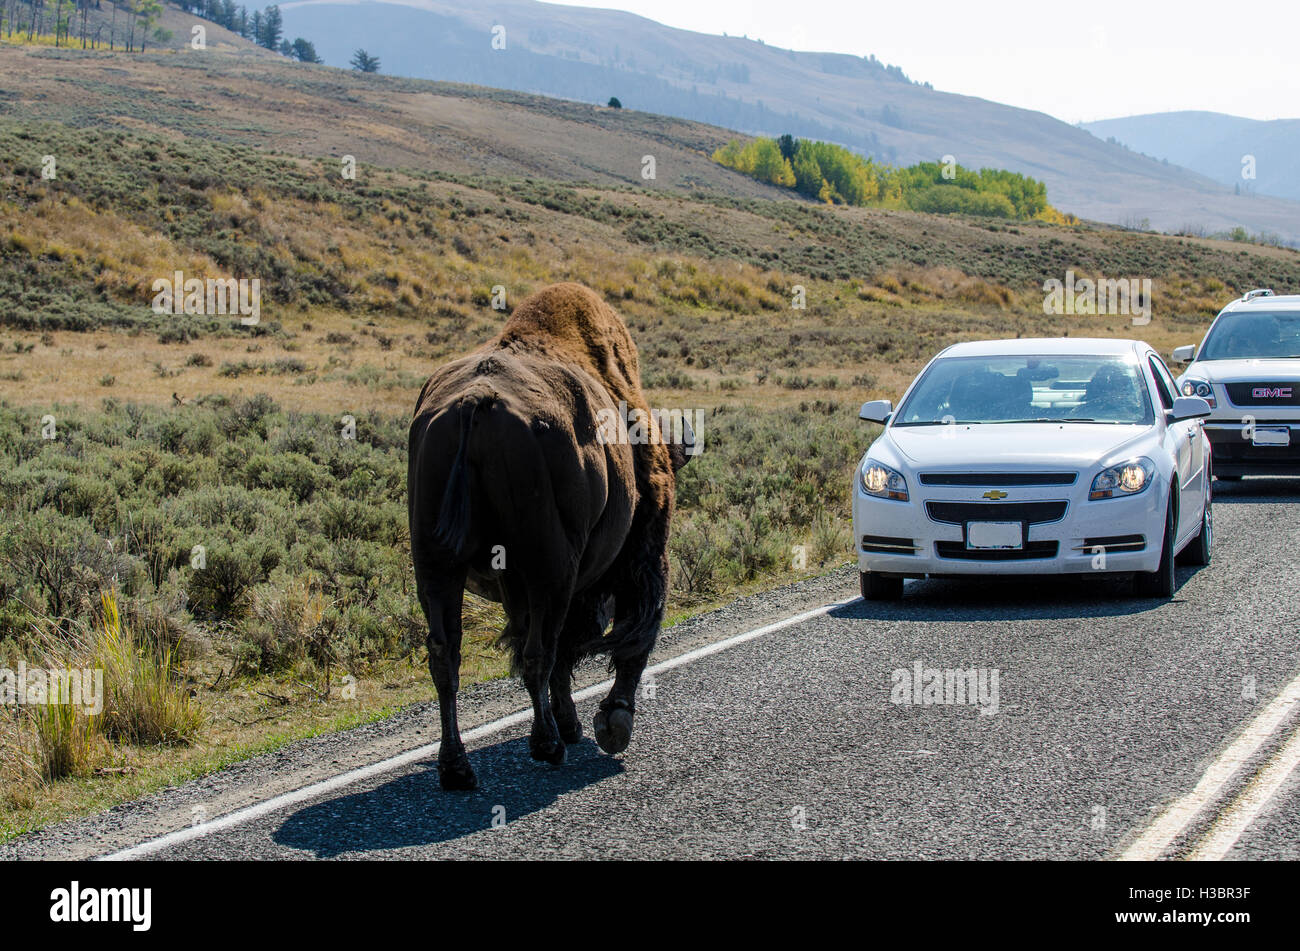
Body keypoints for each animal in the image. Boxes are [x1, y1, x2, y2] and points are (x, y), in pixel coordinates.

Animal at [408, 285, 696, 789]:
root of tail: (475, 403)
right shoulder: (640, 560)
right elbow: (630, 635)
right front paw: (611, 722)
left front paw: (577, 722)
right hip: (550, 570)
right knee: (540, 652)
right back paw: (547, 745)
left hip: (437, 567)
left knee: (447, 657)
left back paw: (457, 768)